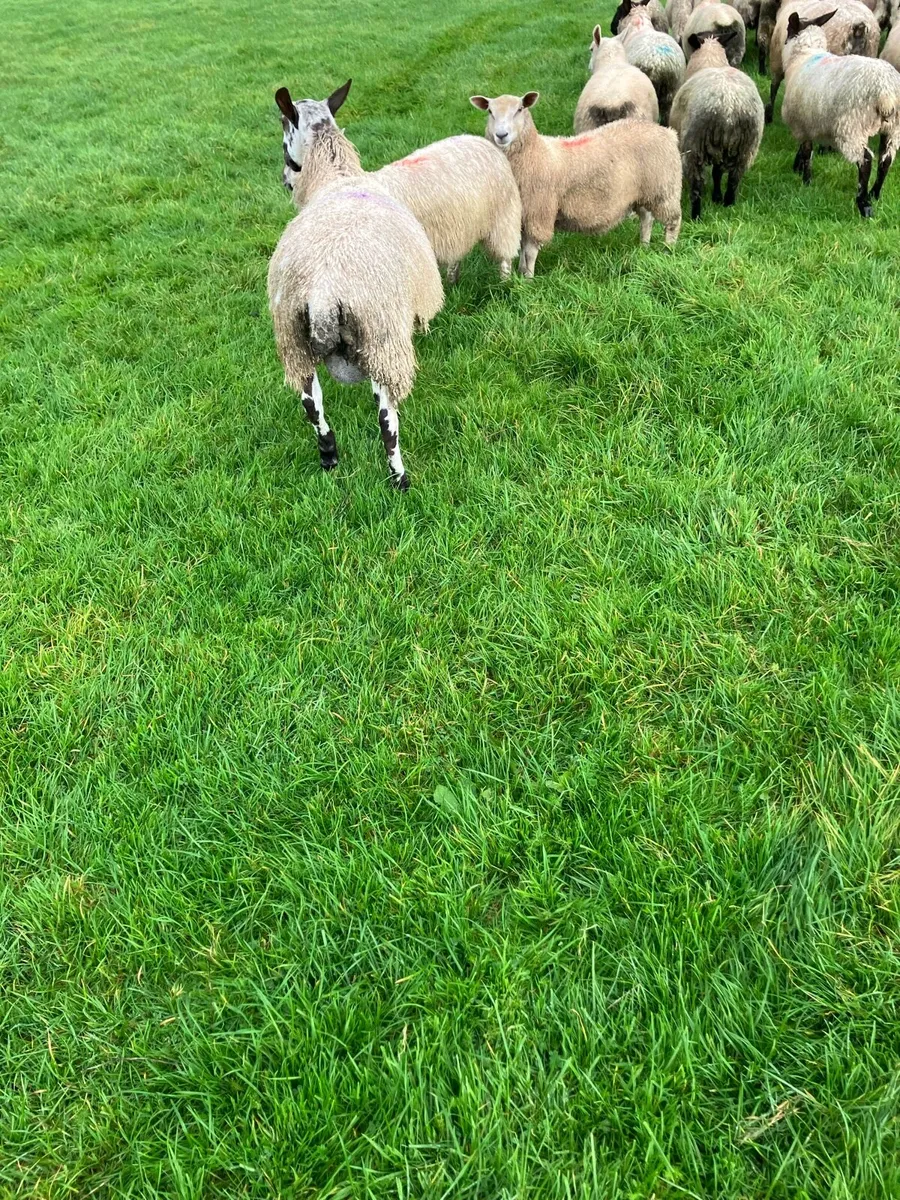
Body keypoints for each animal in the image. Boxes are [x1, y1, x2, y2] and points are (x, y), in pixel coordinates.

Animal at [270, 82, 444, 490]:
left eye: (283, 130)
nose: (283, 179)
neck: (336, 175)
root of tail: (322, 294)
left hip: (294, 340)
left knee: (312, 406)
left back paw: (329, 458)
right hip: (382, 338)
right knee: (386, 422)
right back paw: (399, 480)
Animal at [282, 120, 521, 284]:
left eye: (292, 162)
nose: (284, 181)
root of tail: (484, 142)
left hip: (504, 218)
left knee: (505, 256)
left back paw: (503, 283)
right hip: (461, 225)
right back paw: (453, 280)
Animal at [469, 92, 682, 276]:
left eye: (520, 109)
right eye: (490, 111)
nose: (501, 135)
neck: (536, 154)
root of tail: (668, 132)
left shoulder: (538, 213)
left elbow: (529, 252)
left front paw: (528, 280)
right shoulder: (520, 217)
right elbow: (519, 250)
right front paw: (517, 277)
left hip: (665, 188)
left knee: (672, 221)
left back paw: (668, 249)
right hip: (644, 191)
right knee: (647, 218)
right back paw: (643, 245)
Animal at [669, 32, 765, 215]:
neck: (711, 60)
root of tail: (728, 105)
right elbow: (717, 173)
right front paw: (716, 197)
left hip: (694, 146)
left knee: (697, 185)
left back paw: (696, 216)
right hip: (745, 147)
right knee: (734, 179)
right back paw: (728, 204)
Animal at [780, 10, 900, 215]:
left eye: (788, 29)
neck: (804, 55)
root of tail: (886, 92)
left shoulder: (802, 124)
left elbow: (807, 151)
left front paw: (805, 180)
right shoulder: (810, 121)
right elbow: (805, 151)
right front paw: (799, 169)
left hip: (852, 126)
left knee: (865, 160)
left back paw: (864, 204)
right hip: (893, 128)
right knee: (886, 159)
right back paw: (875, 194)